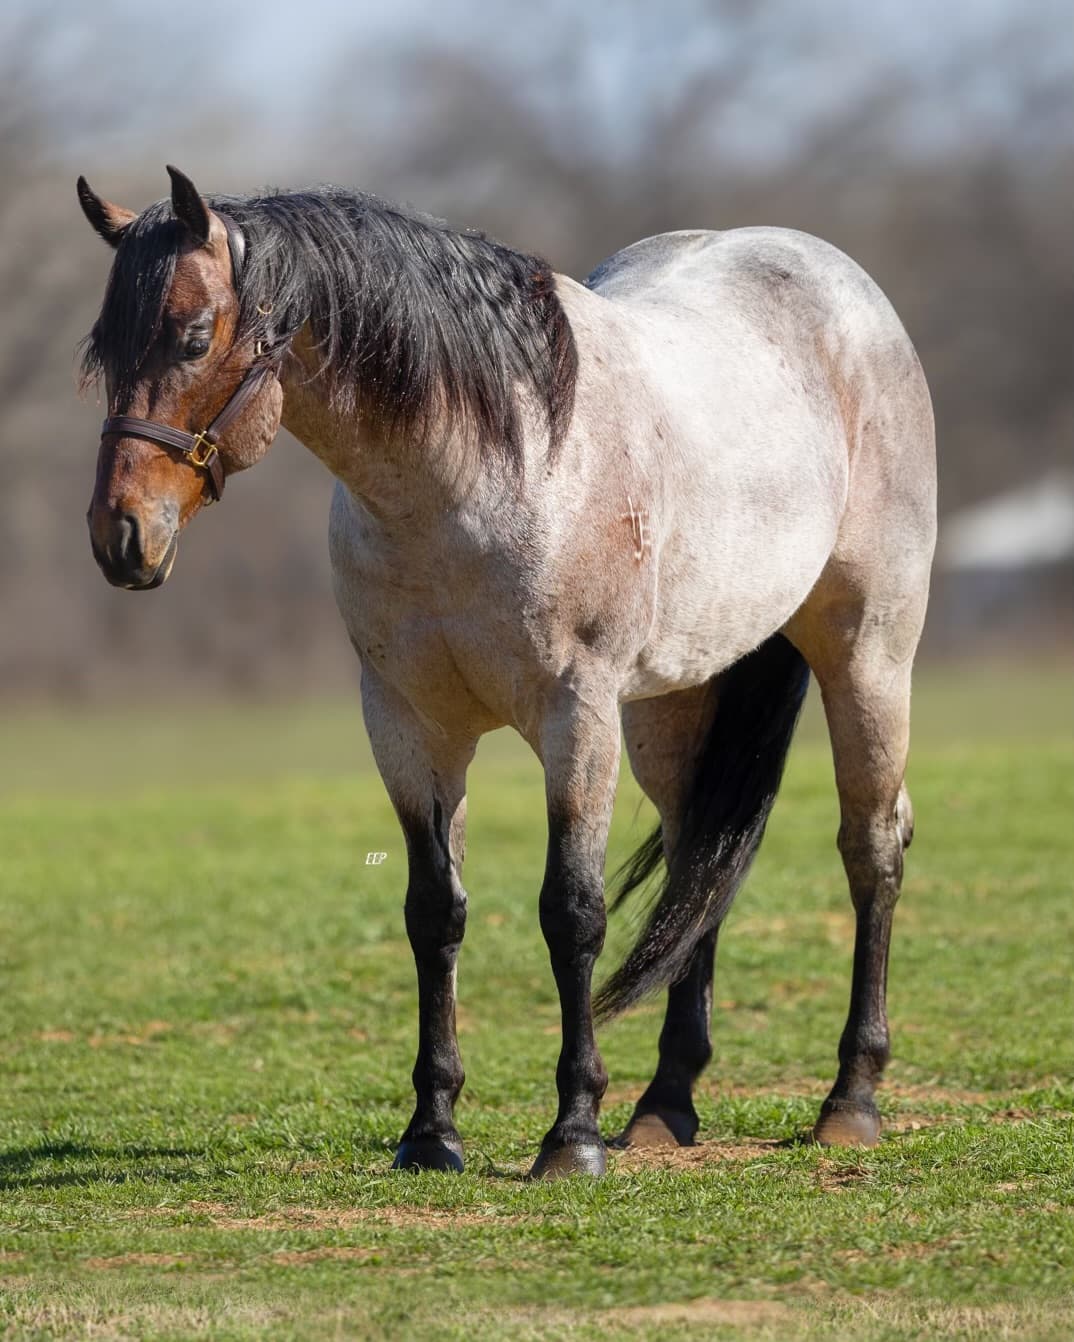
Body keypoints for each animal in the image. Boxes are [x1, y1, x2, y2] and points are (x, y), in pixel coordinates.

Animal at [78, 167, 936, 1179]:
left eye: (192, 336)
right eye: (102, 348)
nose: (120, 536)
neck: (478, 476)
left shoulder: (576, 716)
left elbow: (572, 913)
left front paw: (571, 1136)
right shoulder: (409, 726)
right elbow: (434, 912)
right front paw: (431, 1130)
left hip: (867, 654)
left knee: (871, 846)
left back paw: (852, 1099)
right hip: (674, 703)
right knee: (699, 862)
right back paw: (664, 1105)